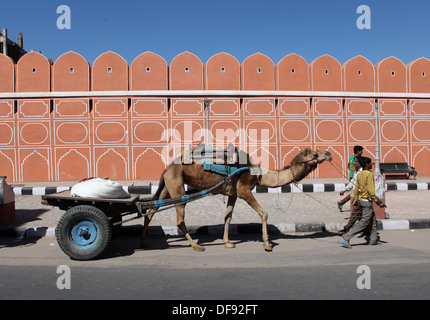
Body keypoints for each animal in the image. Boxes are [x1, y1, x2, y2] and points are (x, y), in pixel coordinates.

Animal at [141, 146, 332, 251]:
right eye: (315, 155)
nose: (329, 153)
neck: (259, 173)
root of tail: (166, 168)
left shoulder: (233, 193)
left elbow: (228, 217)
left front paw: (227, 243)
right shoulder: (244, 190)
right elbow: (264, 214)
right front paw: (267, 244)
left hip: (167, 187)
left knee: (151, 210)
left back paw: (146, 243)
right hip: (177, 186)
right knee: (179, 219)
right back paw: (196, 246)